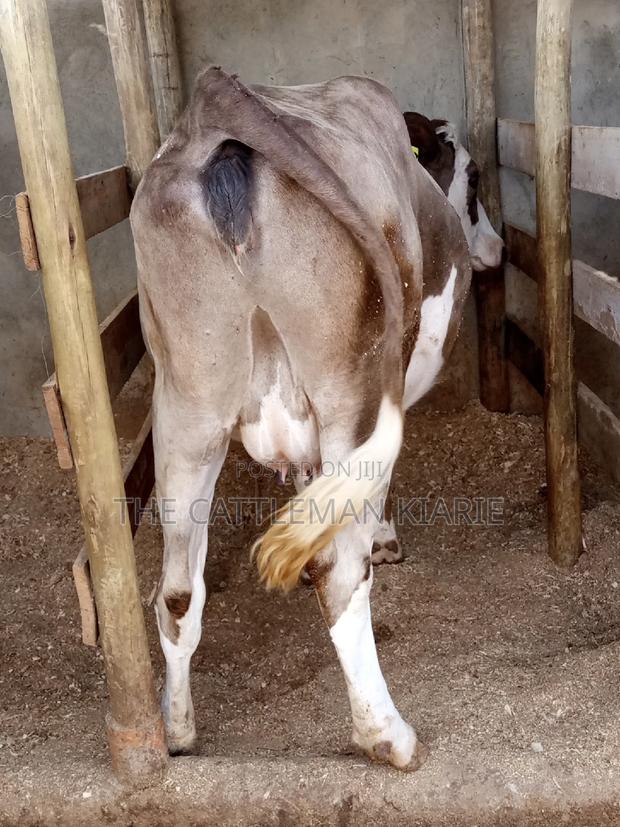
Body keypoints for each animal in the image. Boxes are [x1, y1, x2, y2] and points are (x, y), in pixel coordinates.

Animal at [130, 66, 472, 771]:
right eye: (467, 171)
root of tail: (218, 105)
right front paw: (385, 540)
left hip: (186, 407)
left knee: (177, 590)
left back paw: (177, 730)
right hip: (349, 390)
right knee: (340, 575)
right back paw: (388, 736)